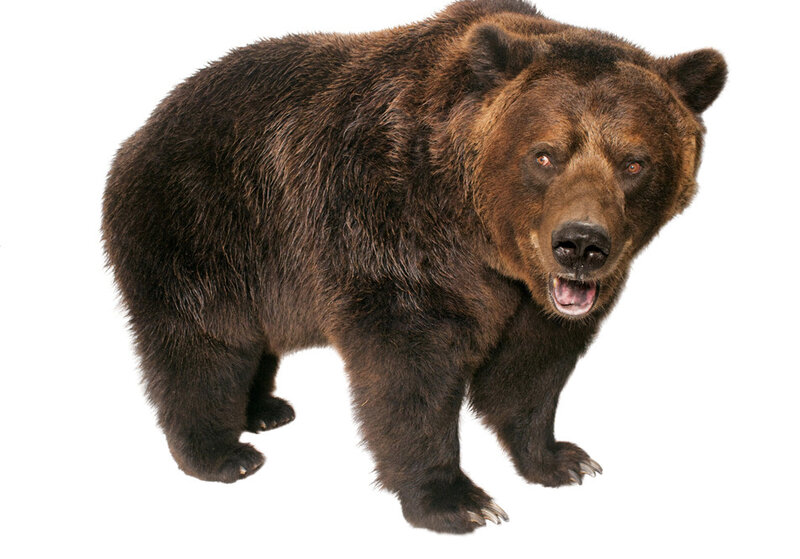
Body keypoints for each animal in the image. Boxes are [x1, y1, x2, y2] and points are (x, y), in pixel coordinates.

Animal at [102, 0, 726, 533]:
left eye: (634, 162)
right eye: (546, 154)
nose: (580, 244)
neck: (484, 238)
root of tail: (144, 127)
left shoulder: (535, 297)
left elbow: (531, 367)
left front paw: (561, 459)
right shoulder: (391, 228)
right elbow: (411, 371)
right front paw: (457, 500)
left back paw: (265, 409)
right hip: (205, 228)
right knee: (204, 345)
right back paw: (222, 452)